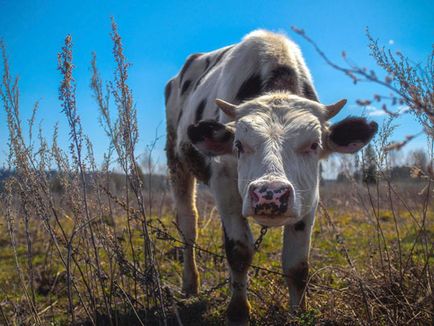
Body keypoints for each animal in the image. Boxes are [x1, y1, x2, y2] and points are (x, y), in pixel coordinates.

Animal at [164, 29, 378, 324]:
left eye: (314, 144)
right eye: (239, 145)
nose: (270, 195)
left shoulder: (308, 197)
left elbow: (297, 264)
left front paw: (299, 312)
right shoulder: (224, 186)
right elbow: (239, 251)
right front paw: (238, 311)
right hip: (177, 162)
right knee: (188, 225)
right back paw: (189, 284)